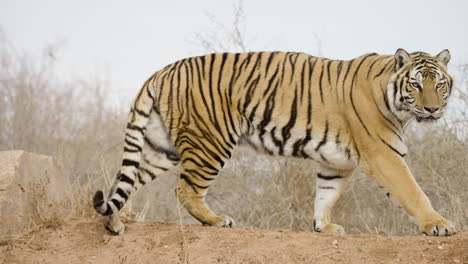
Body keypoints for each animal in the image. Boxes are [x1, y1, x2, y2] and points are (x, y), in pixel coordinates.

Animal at [92, 48, 458, 236]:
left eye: (439, 84)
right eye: (415, 85)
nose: (433, 109)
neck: (395, 101)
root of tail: (162, 71)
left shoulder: (336, 162)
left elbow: (326, 195)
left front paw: (323, 227)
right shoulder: (383, 154)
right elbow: (412, 191)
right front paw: (438, 225)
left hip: (160, 146)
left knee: (127, 180)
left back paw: (114, 224)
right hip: (210, 141)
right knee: (185, 189)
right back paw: (216, 220)